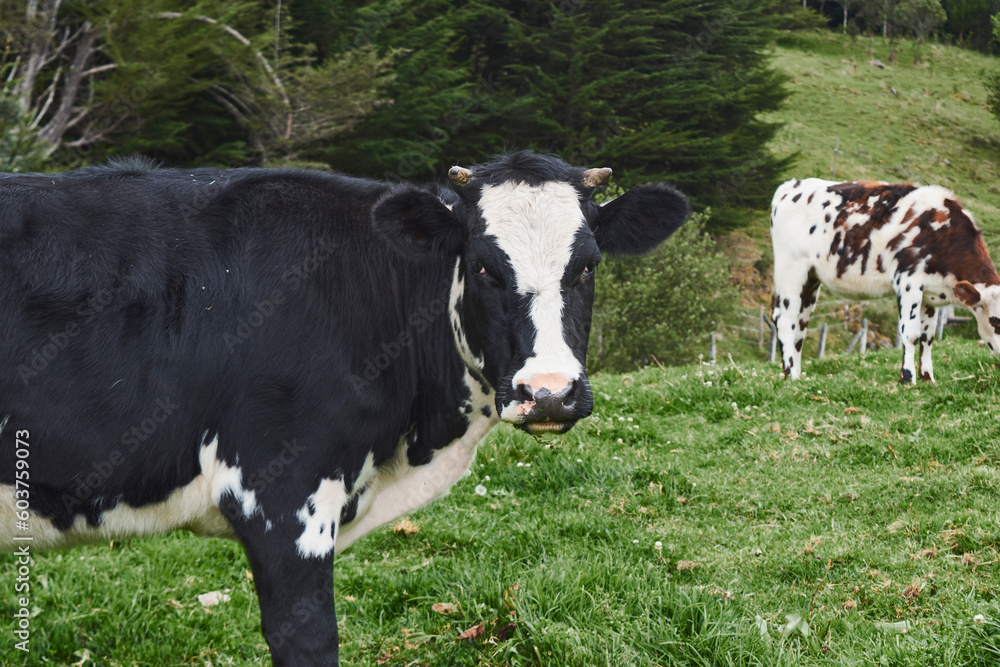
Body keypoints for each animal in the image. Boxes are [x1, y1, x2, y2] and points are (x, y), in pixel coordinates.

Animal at [772, 180, 1000, 384]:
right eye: (996, 321)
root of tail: (789, 186)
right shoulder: (908, 282)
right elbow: (910, 333)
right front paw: (907, 378)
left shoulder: (930, 294)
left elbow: (927, 336)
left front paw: (928, 378)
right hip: (790, 269)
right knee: (784, 319)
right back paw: (790, 374)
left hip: (811, 279)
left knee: (801, 324)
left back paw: (799, 374)